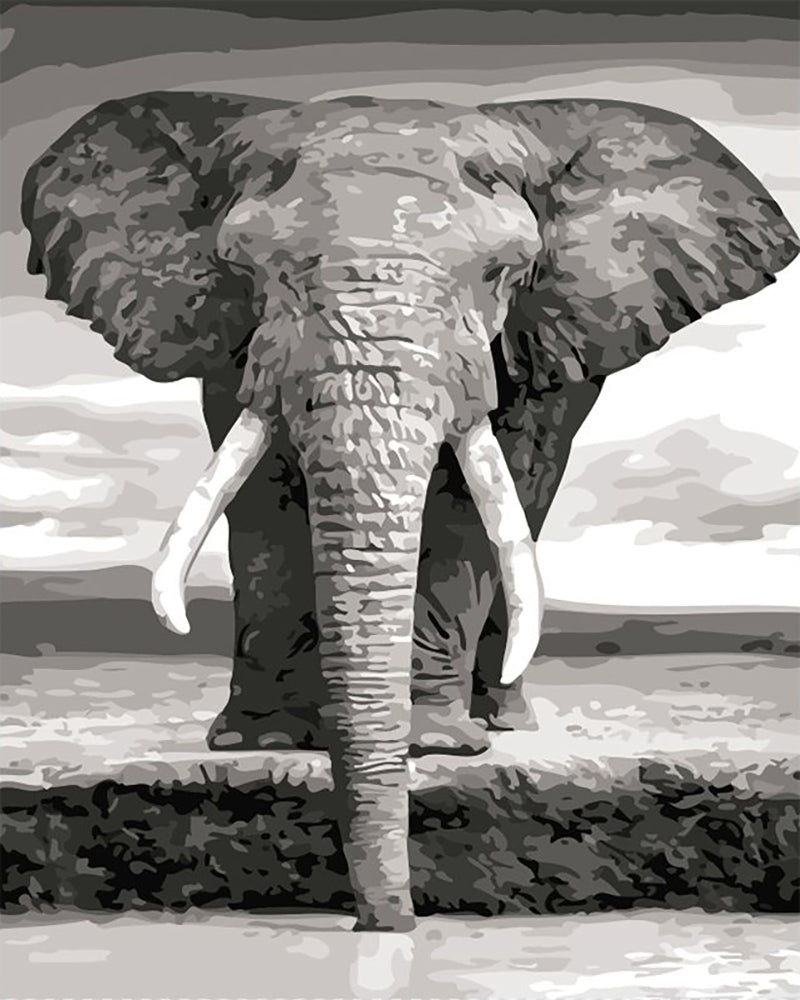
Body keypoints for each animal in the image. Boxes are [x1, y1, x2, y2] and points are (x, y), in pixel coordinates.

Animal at [22, 91, 798, 930]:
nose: (388, 922)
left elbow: (461, 509)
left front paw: (434, 748)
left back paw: (499, 723)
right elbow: (264, 499)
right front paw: (265, 739)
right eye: (241, 266)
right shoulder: (233, 342)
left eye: (505, 271)